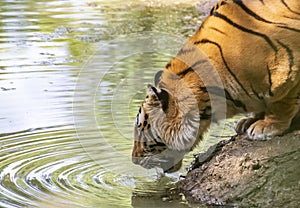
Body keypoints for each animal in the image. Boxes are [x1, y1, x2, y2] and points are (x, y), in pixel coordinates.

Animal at [132, 0, 300, 172]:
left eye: (140, 127)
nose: (134, 160)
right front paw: (250, 120)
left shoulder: (287, 66)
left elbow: (282, 101)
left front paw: (267, 126)